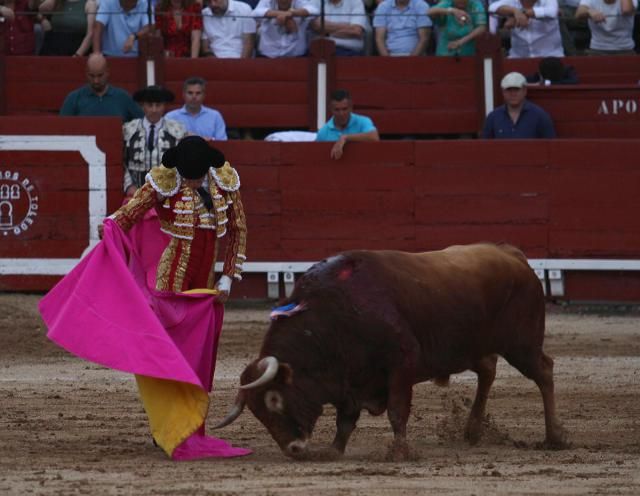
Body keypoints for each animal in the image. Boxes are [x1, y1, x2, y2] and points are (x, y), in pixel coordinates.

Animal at [216, 244, 568, 462]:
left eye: (275, 399)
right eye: (257, 413)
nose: (293, 448)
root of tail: (511, 254)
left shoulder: (401, 363)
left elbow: (397, 411)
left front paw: (400, 452)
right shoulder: (349, 378)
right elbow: (345, 420)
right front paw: (334, 450)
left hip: (521, 344)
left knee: (544, 371)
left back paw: (555, 438)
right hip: (475, 347)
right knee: (488, 370)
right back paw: (472, 431)